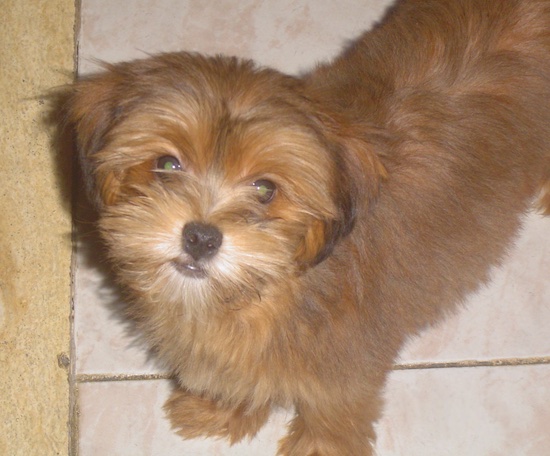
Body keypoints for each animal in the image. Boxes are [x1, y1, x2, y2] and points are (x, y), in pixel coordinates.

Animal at [66, 1, 550, 454]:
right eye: (167, 164)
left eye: (265, 188)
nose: (200, 237)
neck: (271, 290)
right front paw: (220, 408)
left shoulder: (346, 362)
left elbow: (335, 409)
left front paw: (321, 446)